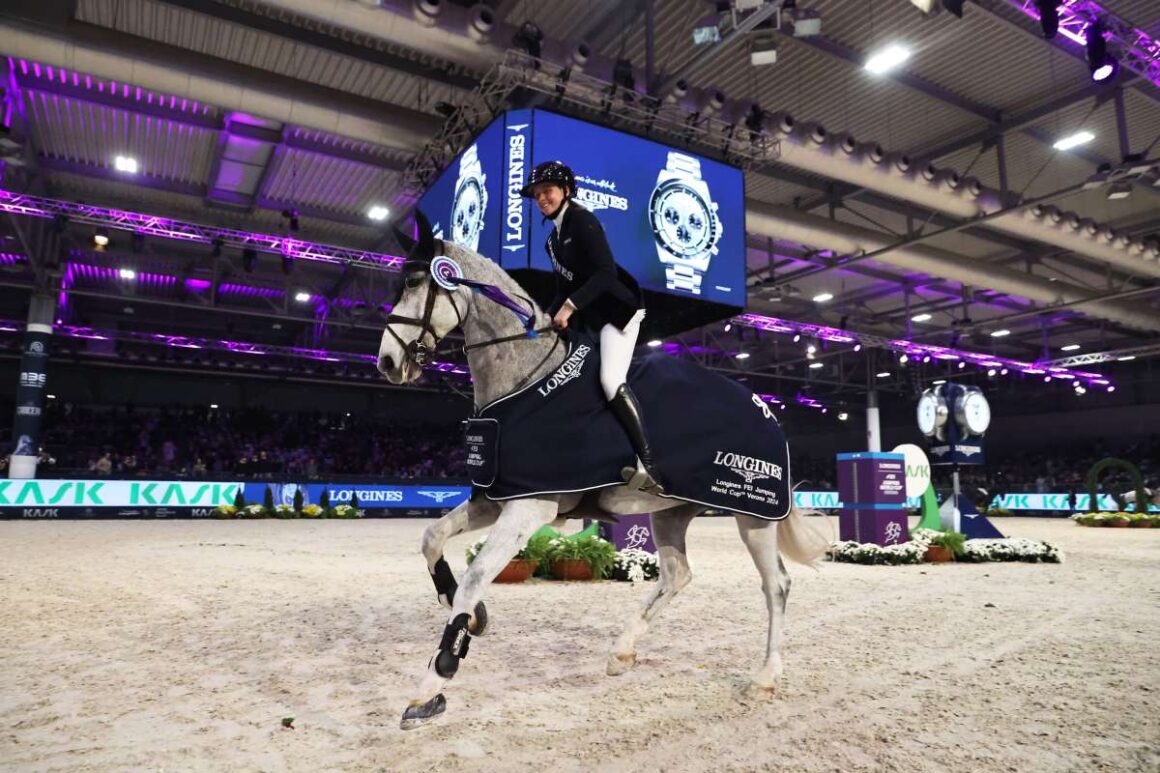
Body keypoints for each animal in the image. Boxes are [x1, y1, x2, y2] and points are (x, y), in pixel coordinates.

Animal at [378, 226, 825, 724]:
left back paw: (764, 678)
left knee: (776, 585)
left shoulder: (532, 506)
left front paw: (433, 682)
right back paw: (622, 652)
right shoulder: (495, 499)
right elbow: (432, 539)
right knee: (678, 576)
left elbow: (474, 579)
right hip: (671, 512)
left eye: (415, 282)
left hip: (754, 513)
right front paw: (472, 614)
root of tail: (766, 408)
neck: (522, 378)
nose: (387, 362)